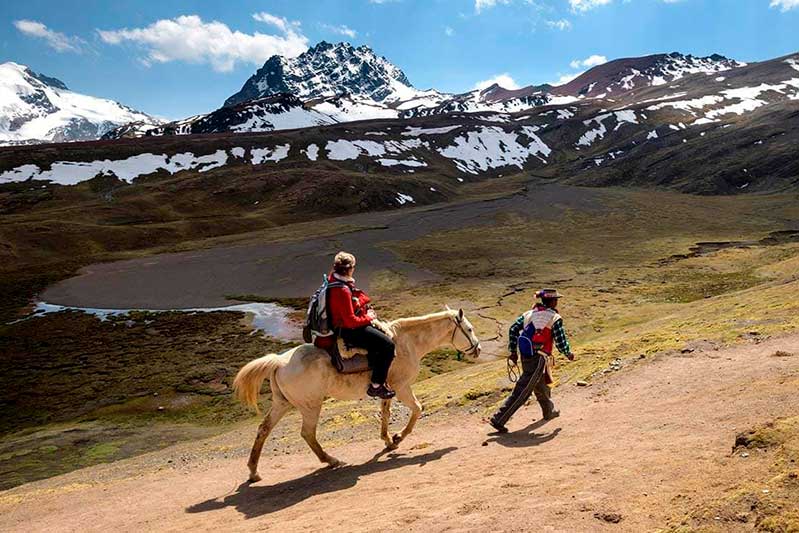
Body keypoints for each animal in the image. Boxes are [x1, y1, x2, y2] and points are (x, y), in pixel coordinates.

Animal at [231, 306, 482, 480]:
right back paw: (332, 460)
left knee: (263, 430)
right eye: (469, 329)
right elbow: (417, 409)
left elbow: (386, 414)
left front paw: (389, 441)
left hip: (282, 404)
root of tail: (278, 361)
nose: (478, 349)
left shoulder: (387, 390)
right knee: (307, 434)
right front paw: (398, 437)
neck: (407, 344)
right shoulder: (402, 388)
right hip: (310, 406)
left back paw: (253, 472)